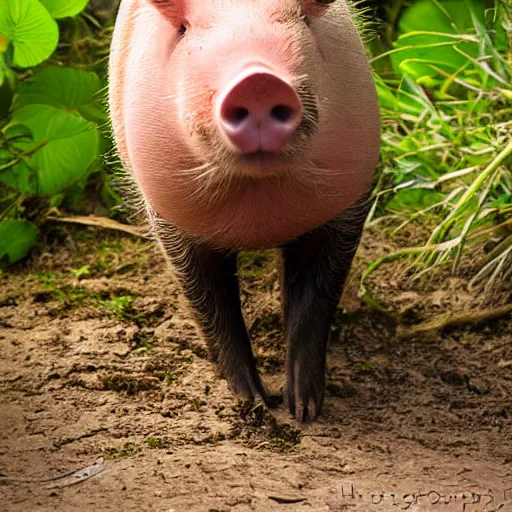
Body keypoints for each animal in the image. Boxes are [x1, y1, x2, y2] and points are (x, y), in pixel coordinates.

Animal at [108, 0, 380, 422]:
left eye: (303, 20)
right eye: (184, 30)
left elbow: (317, 298)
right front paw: (255, 404)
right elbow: (209, 304)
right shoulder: (171, 218)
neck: (256, 216)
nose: (257, 80)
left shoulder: (346, 204)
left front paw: (303, 410)